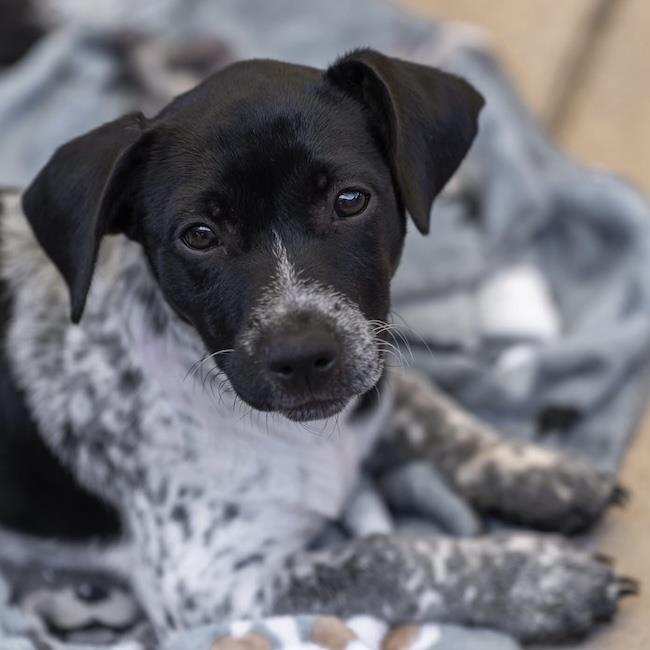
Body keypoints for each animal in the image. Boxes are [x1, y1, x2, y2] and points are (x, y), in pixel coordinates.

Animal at [0, 49, 634, 644]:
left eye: (350, 201)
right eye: (199, 236)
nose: (302, 356)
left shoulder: (373, 367)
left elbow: (434, 413)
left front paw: (536, 471)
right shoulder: (213, 586)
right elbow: (384, 559)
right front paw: (535, 580)